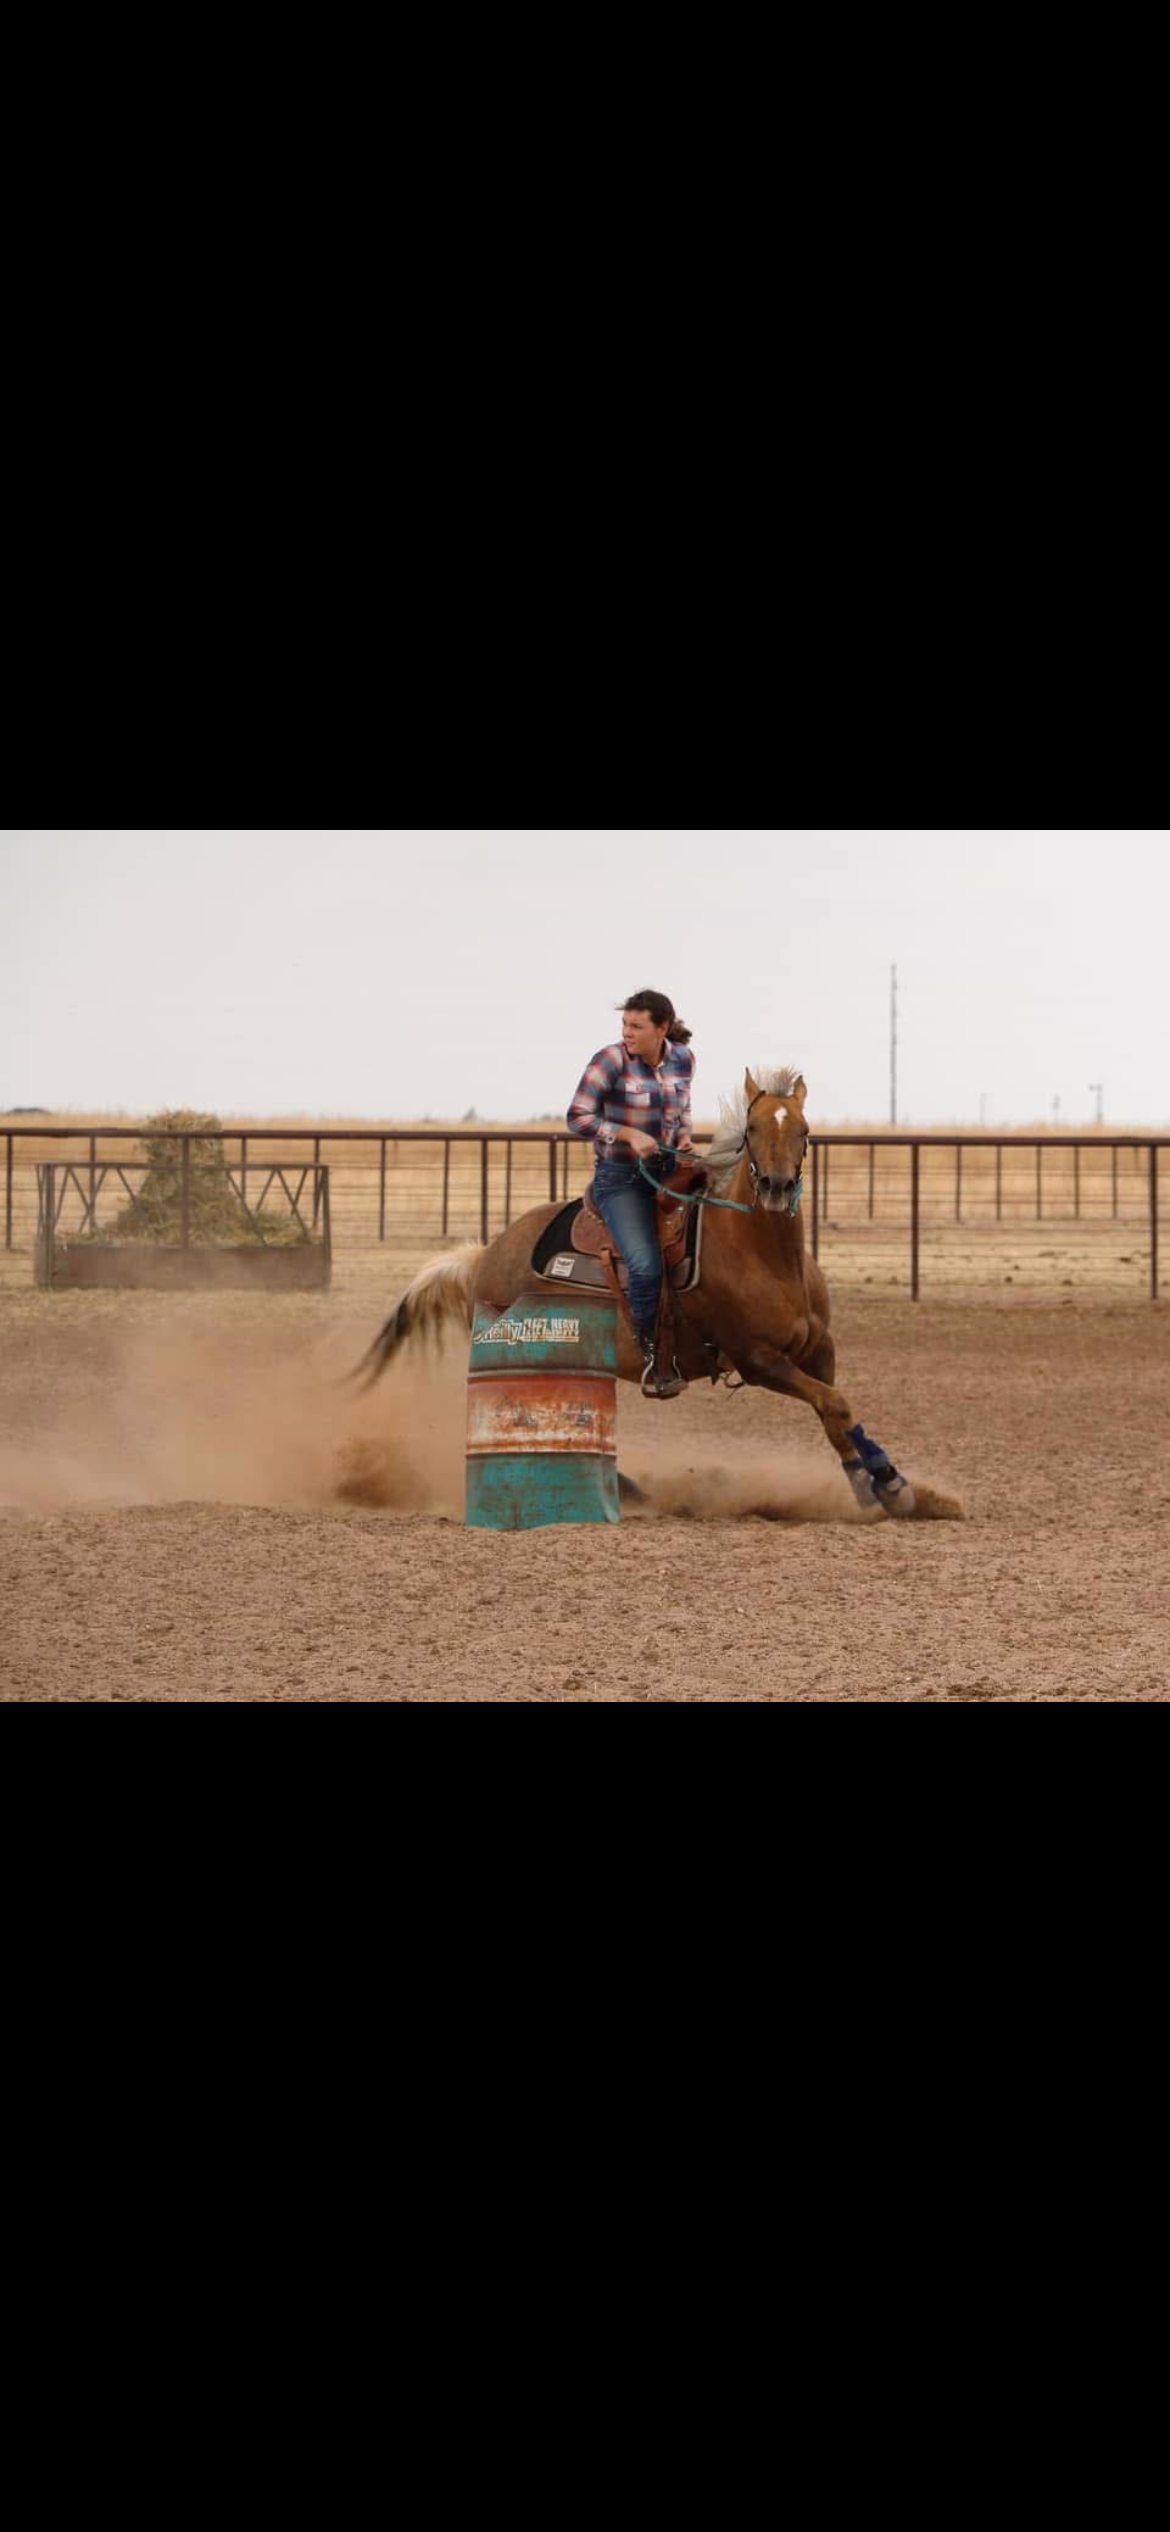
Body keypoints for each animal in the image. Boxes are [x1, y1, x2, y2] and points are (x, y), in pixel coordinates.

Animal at [353, 1067, 963, 1522]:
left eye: (805, 1129)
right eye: (752, 1130)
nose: (776, 1188)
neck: (766, 1256)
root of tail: (486, 1254)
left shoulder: (819, 1348)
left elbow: (839, 1411)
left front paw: (892, 1482)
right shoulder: (758, 1360)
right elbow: (832, 1404)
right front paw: (870, 1487)